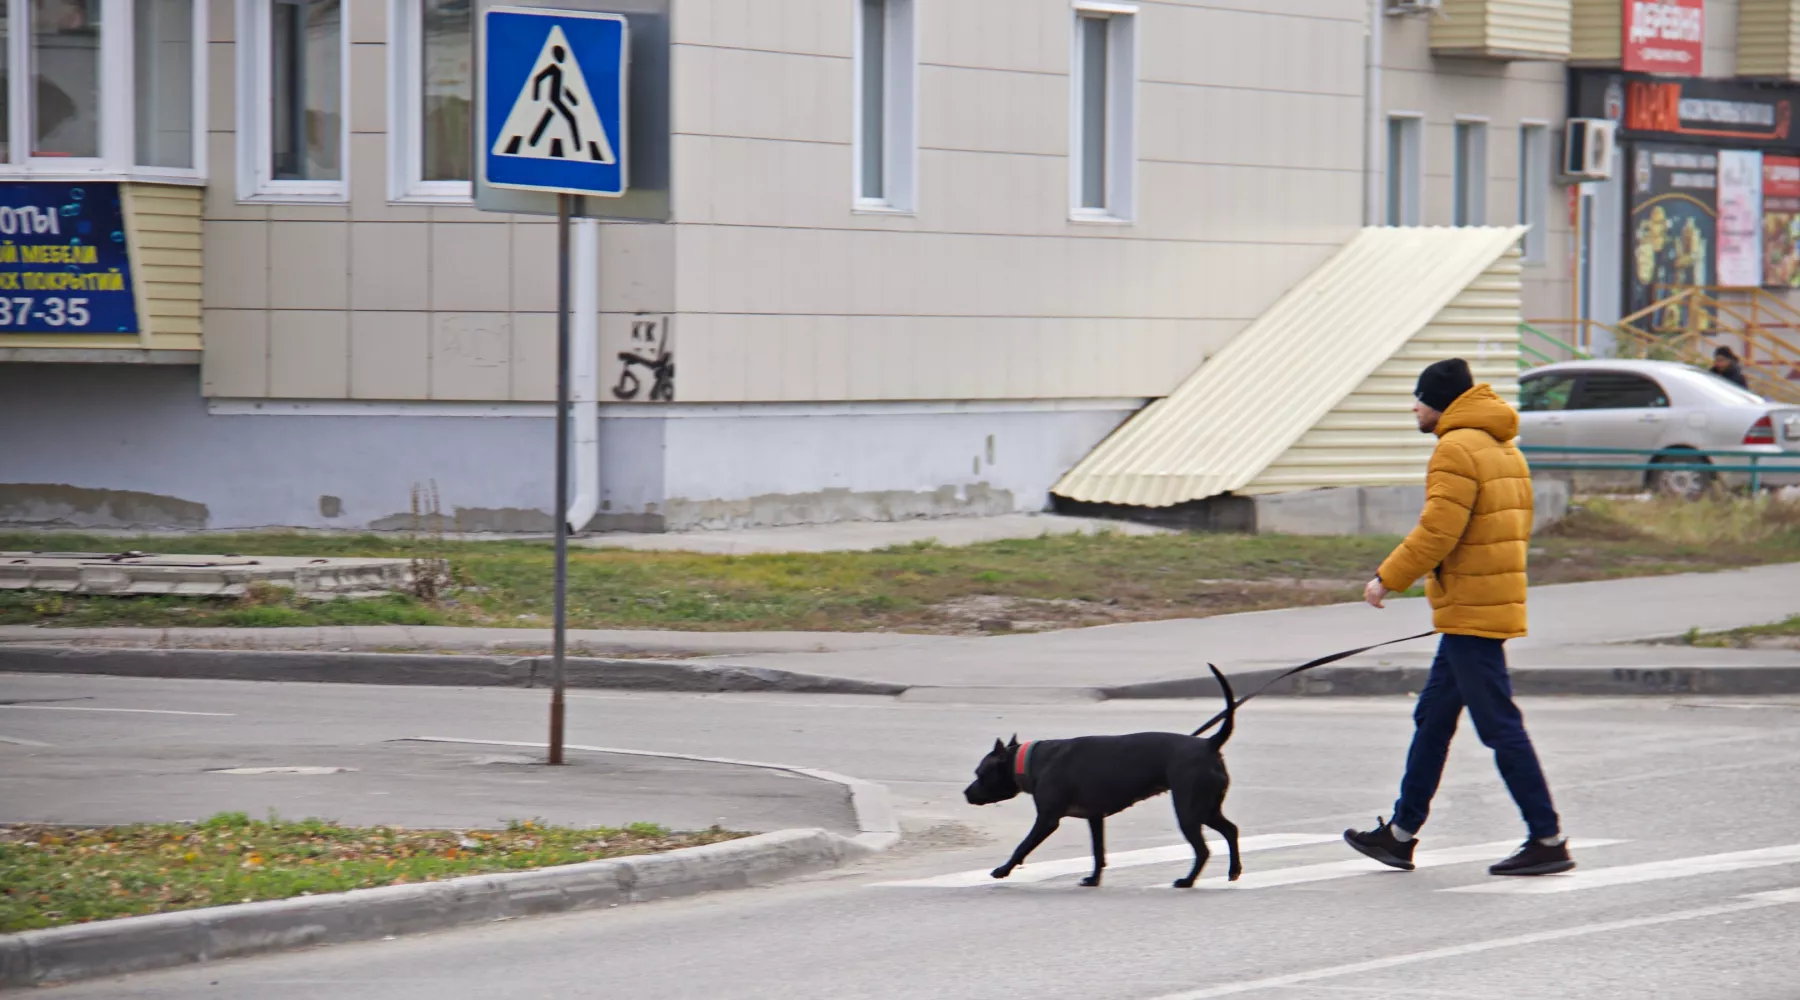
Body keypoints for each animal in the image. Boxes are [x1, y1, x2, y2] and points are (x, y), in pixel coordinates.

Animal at [964, 669, 1245, 888]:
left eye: (980, 773)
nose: (966, 792)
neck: (1032, 760)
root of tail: (1209, 744)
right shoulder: (1095, 818)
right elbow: (1098, 852)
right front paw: (1093, 879)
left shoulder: (1047, 819)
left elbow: (1022, 846)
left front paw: (1003, 870)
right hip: (1207, 808)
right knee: (1231, 830)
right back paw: (1234, 871)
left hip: (1189, 810)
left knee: (1203, 849)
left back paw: (1187, 881)